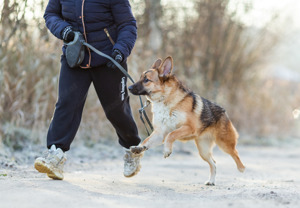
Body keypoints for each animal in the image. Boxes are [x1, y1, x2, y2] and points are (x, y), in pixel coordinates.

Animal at [127, 55, 245, 185]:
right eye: (140, 78)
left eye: (146, 80)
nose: (128, 87)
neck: (165, 99)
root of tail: (223, 111)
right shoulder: (160, 133)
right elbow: (146, 141)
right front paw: (139, 148)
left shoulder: (188, 128)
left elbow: (172, 135)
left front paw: (167, 150)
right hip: (203, 151)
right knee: (213, 163)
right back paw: (211, 181)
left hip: (224, 144)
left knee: (236, 154)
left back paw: (242, 169)